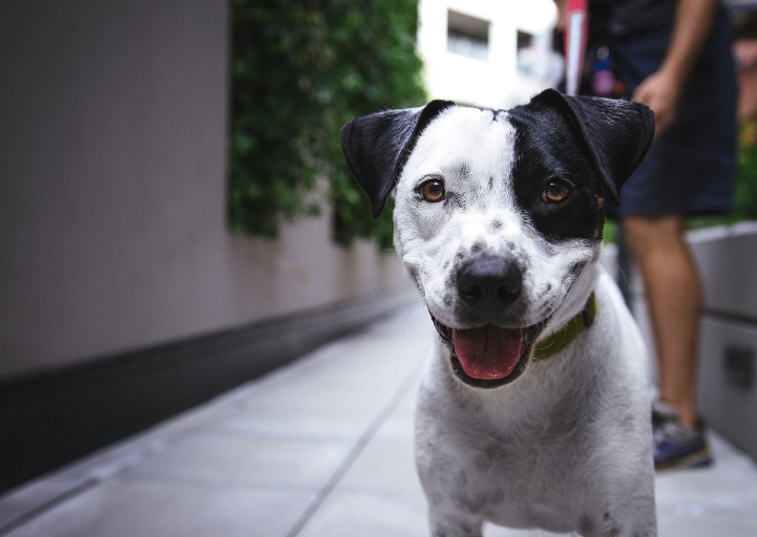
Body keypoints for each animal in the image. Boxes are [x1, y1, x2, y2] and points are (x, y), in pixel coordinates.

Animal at [342, 90, 656, 532]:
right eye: (433, 189)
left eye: (556, 190)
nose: (488, 280)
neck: (520, 392)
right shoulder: (451, 514)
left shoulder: (626, 517)